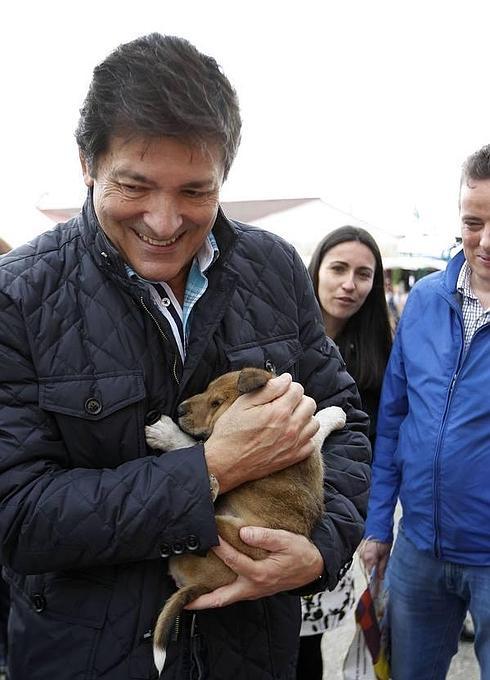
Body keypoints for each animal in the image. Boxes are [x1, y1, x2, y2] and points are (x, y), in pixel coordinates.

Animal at [145, 370, 344, 668]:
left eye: (216, 403)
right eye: (207, 389)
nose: (179, 409)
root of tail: (201, 585)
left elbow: (196, 444)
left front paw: (165, 433)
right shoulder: (309, 448)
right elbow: (317, 427)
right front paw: (335, 414)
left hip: (234, 532)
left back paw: (210, 487)